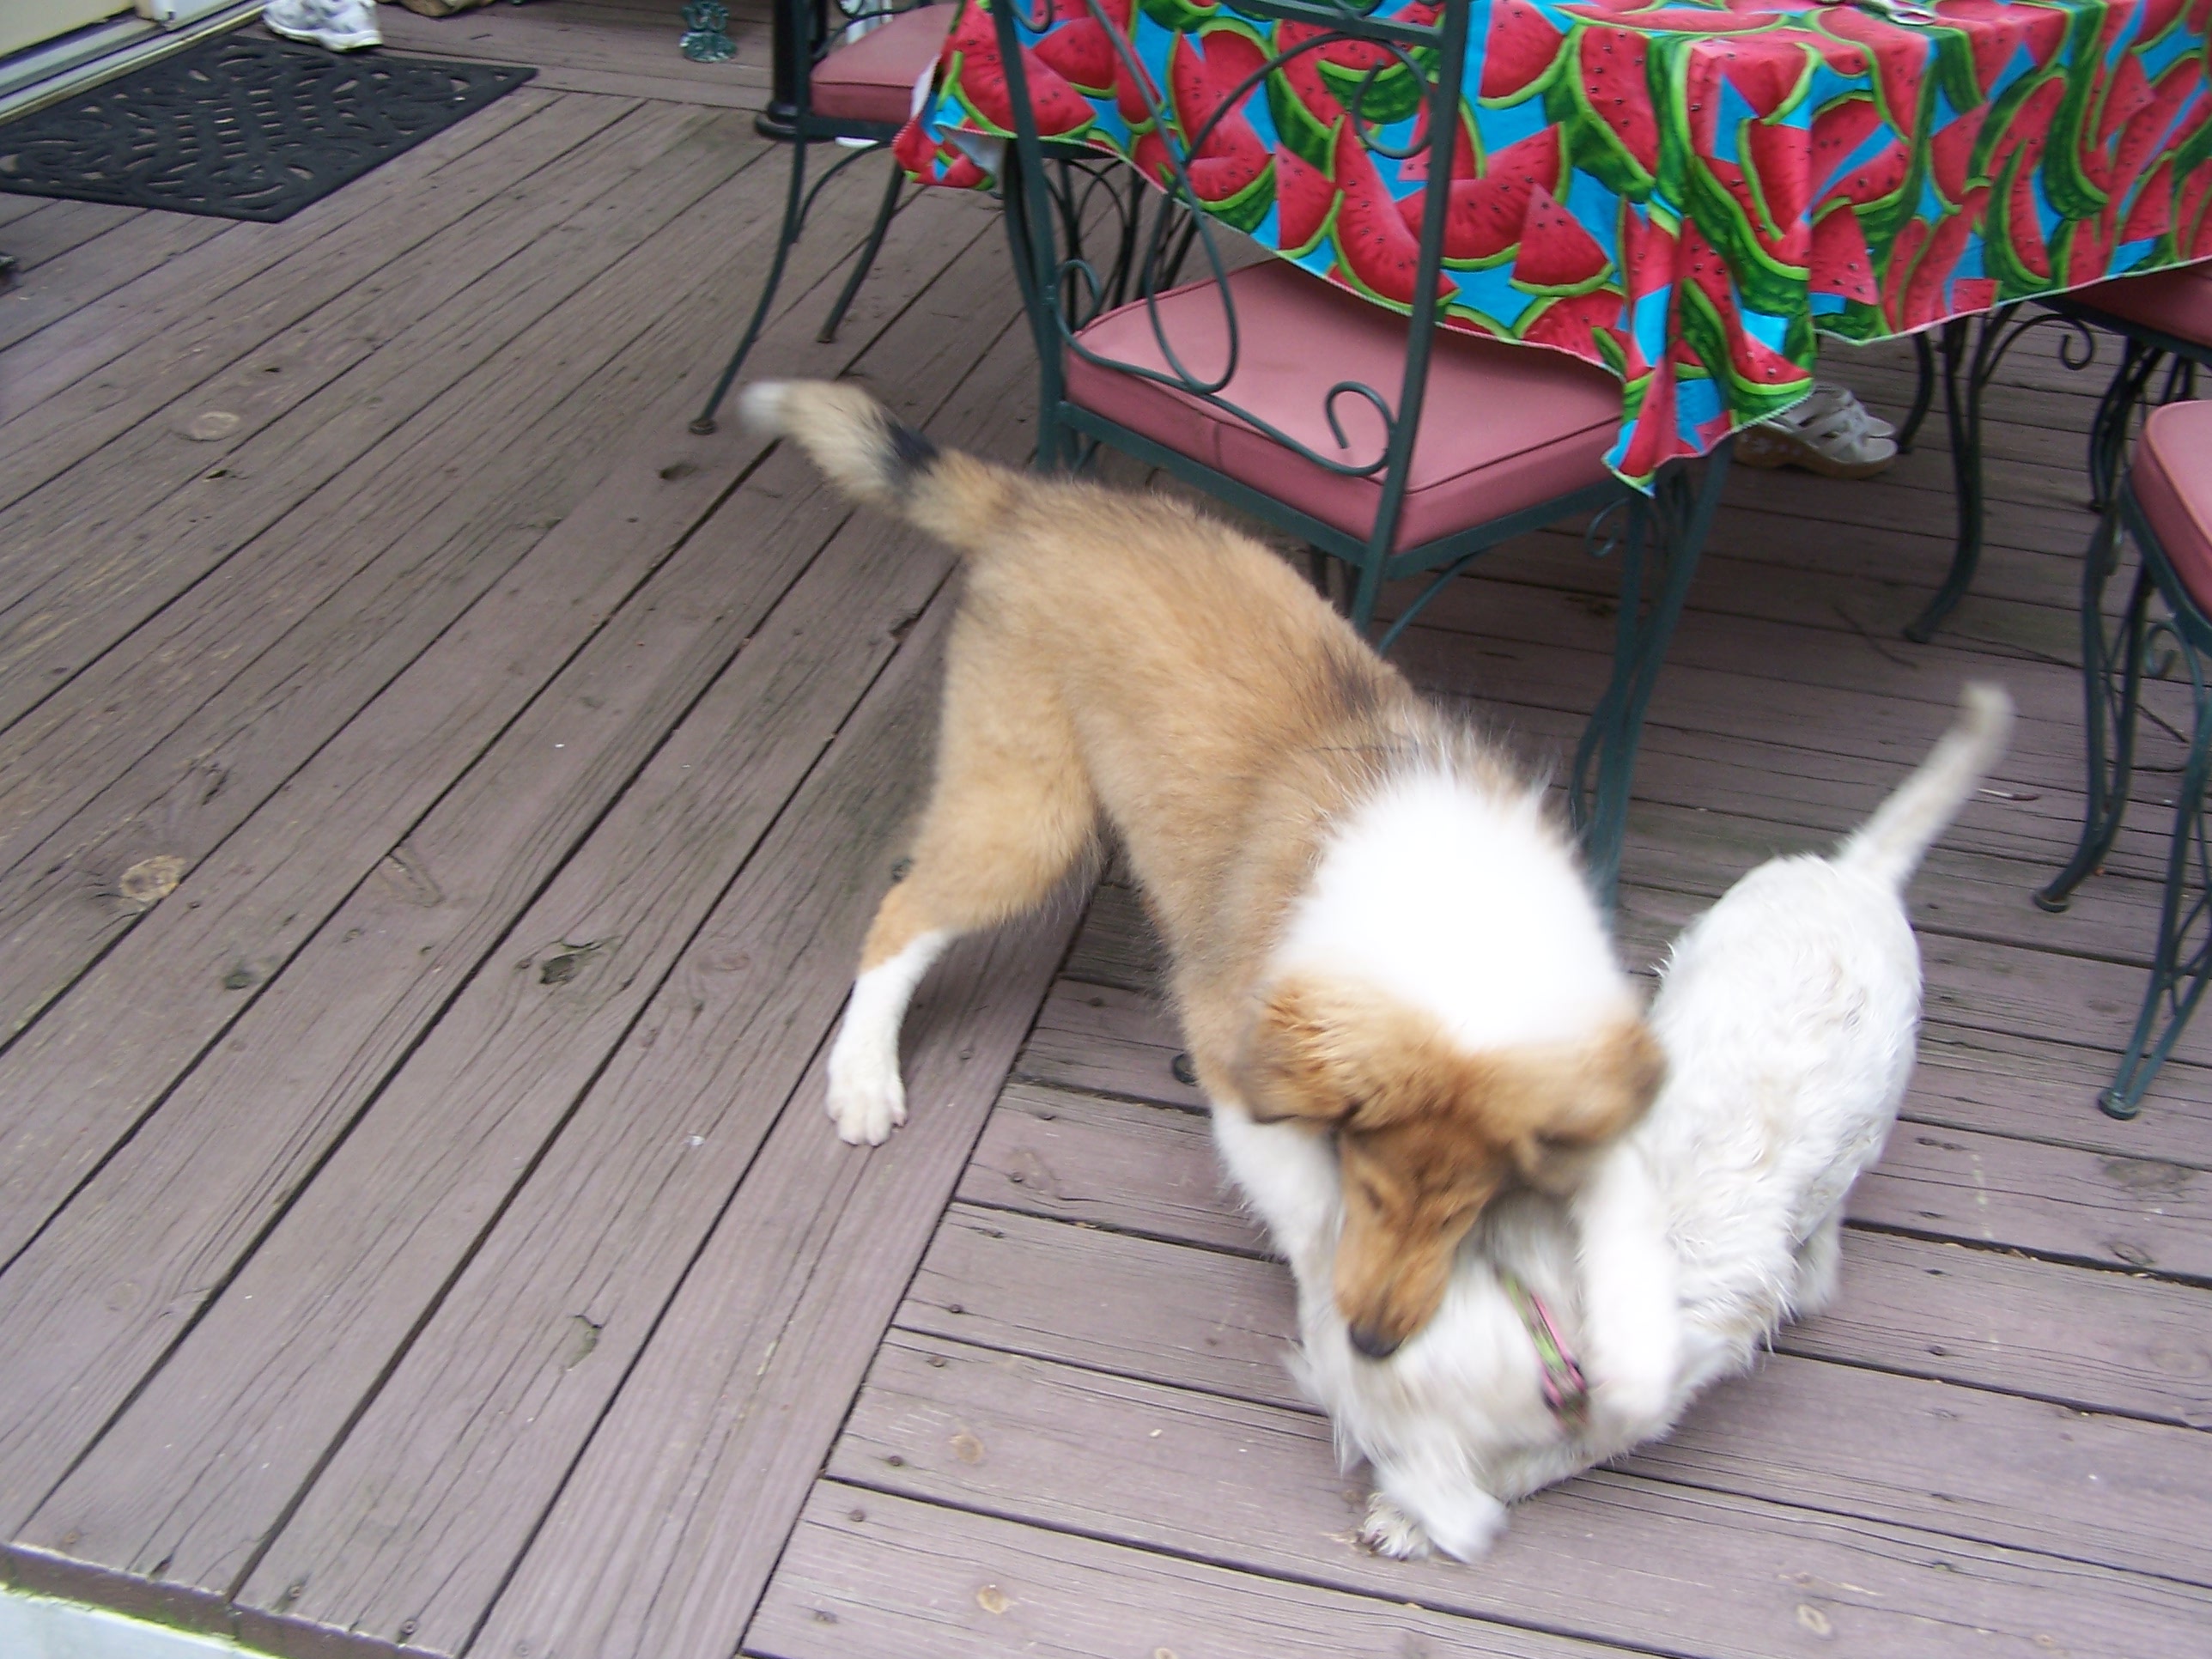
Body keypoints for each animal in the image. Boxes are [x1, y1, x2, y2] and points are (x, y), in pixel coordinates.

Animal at [744, 378, 1663, 1355]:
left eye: (1466, 1209)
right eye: (1372, 1187)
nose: (1375, 1343)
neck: (1455, 916)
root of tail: (1039, 503)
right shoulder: (1235, 1047)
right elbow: (1305, 1207)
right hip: (1029, 816)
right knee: (902, 911)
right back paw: (862, 1081)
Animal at [1225, 683, 2014, 1561]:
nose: (1359, 1340)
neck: (1553, 1317)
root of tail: (1859, 875)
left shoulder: (1629, 1407)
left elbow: (1540, 1458)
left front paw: (1407, 1517)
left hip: (1870, 1113)